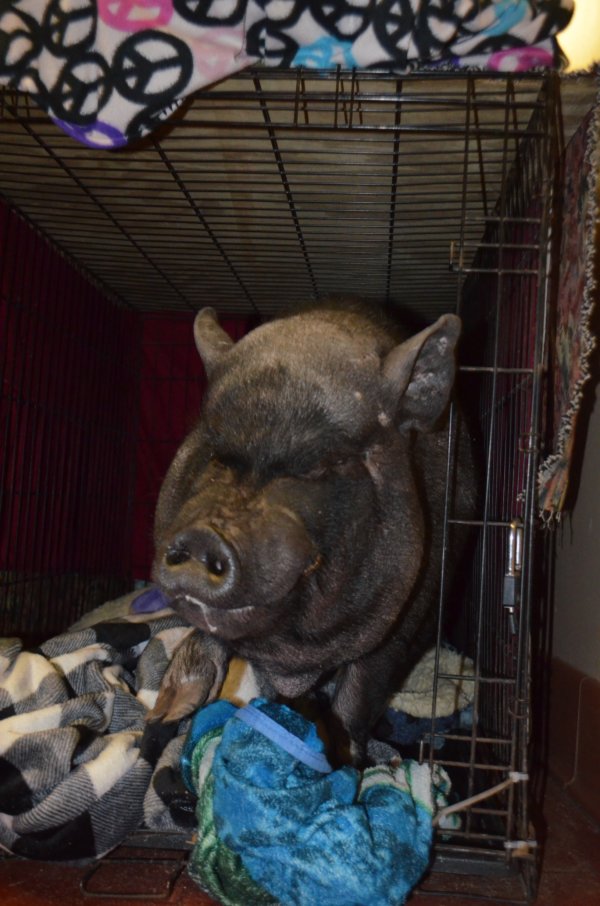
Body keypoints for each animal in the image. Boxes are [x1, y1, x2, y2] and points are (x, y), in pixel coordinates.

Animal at [151, 299, 475, 763]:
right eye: (217, 454)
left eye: (324, 464)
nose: (203, 536)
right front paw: (167, 713)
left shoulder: (408, 614)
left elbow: (360, 691)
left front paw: (345, 759)